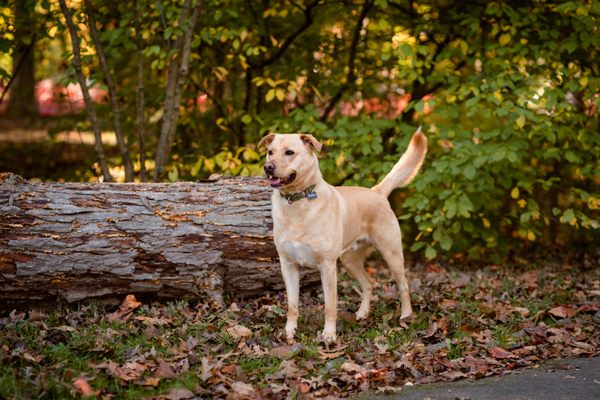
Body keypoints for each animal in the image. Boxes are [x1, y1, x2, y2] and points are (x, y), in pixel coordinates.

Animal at [258, 129, 426, 344]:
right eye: (270, 152)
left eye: (289, 152)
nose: (268, 167)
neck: (296, 202)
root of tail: (377, 192)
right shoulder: (288, 266)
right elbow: (292, 306)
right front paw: (289, 332)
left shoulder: (328, 267)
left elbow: (330, 306)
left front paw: (329, 335)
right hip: (349, 260)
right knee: (368, 284)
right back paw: (363, 313)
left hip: (392, 254)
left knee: (403, 285)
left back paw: (406, 316)